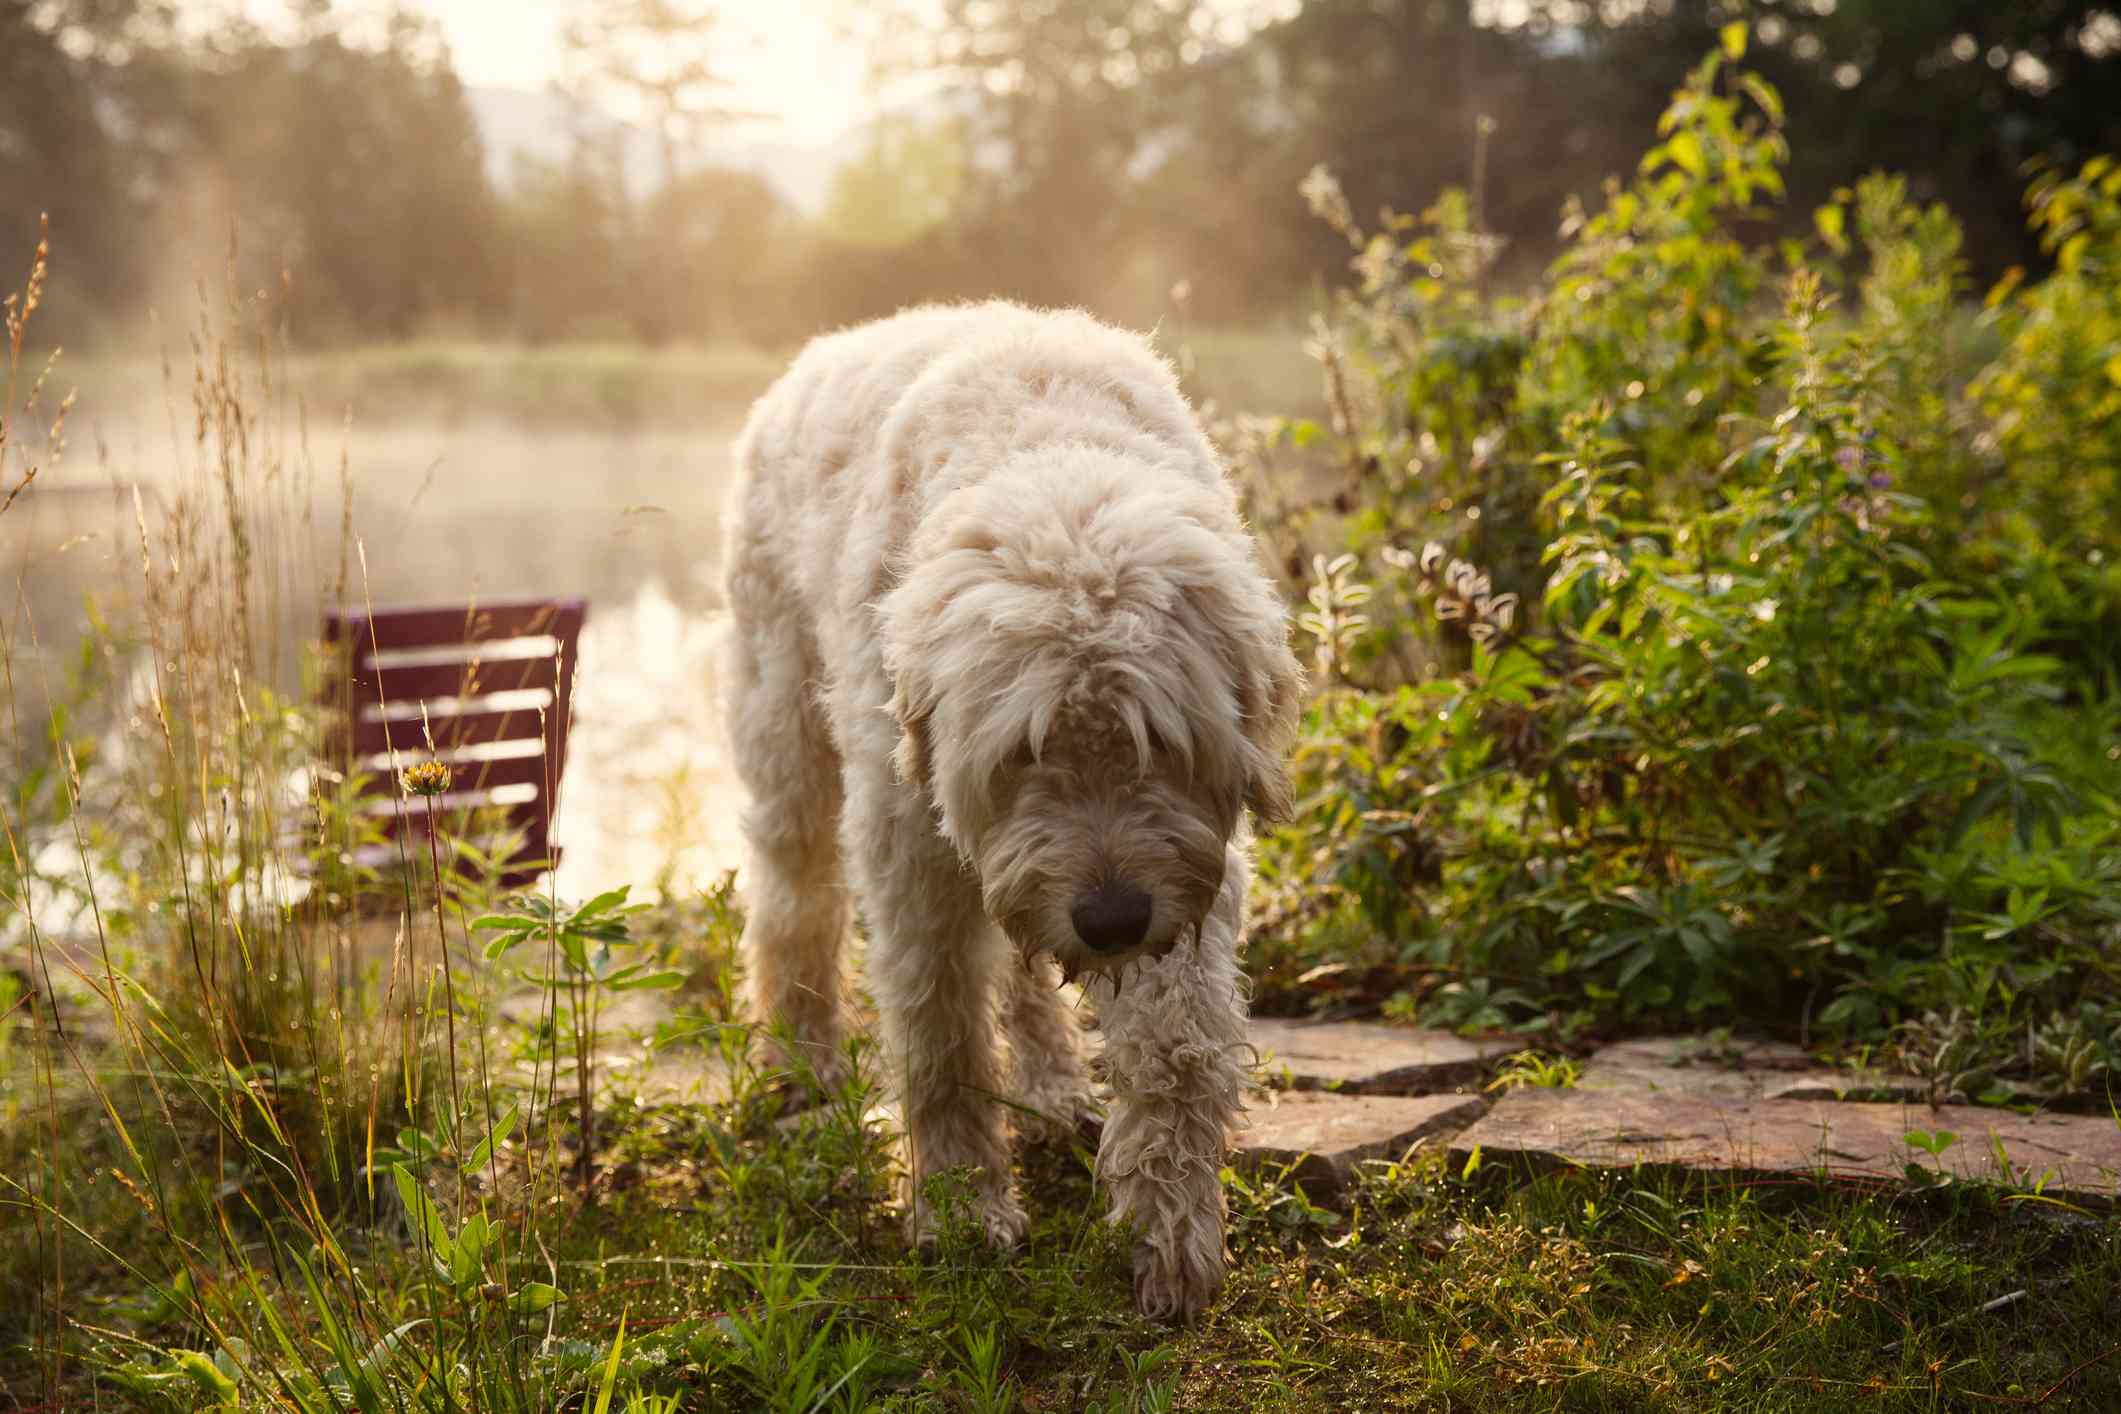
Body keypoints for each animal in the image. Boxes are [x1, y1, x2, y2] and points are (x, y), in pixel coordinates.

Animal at [721, 301, 1298, 1331]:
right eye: (1021, 749)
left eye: (1158, 740)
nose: (1109, 920)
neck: (1048, 451)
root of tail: (819, 349)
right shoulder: (910, 843)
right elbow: (940, 1026)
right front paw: (957, 1205)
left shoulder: (1189, 880)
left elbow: (1177, 1049)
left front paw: (1173, 1230)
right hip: (785, 729)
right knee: (792, 903)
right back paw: (803, 1058)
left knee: (1024, 974)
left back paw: (1055, 1086)